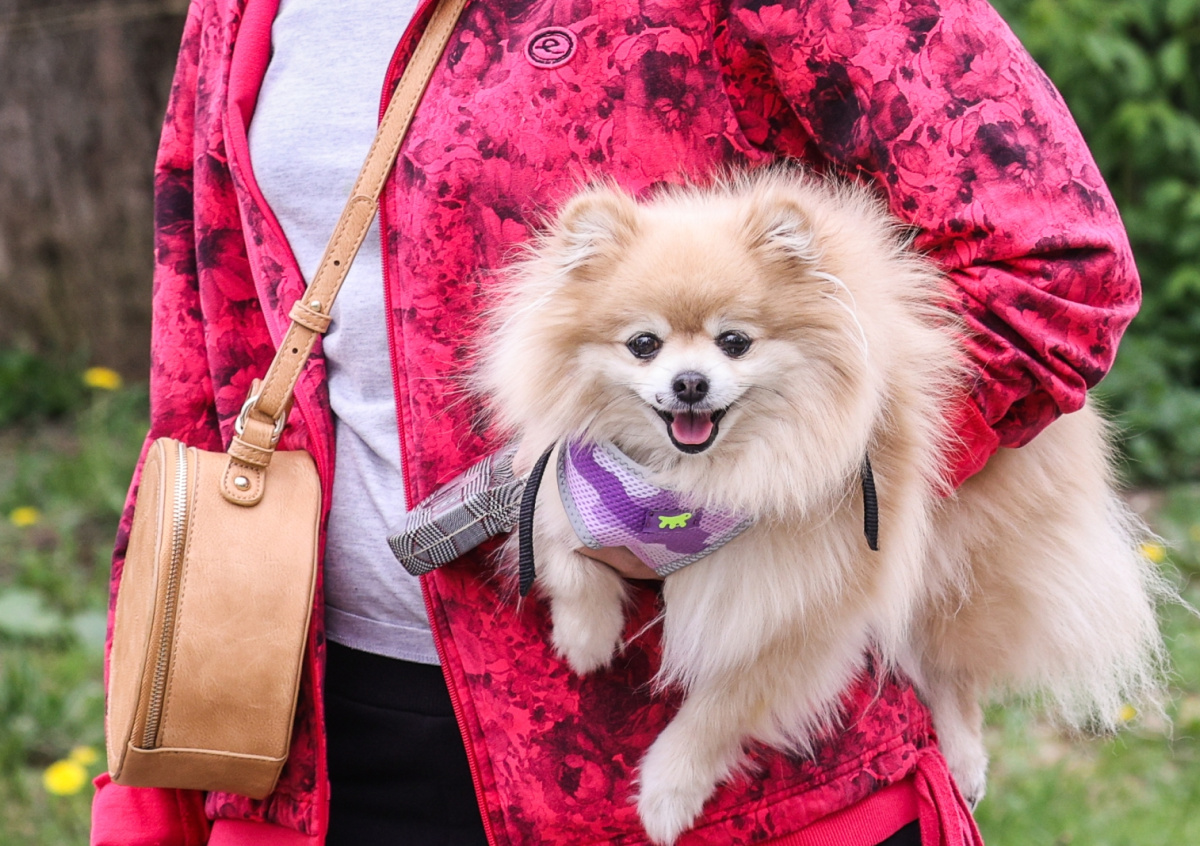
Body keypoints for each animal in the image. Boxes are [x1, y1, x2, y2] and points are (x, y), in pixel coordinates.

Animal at [474, 169, 1166, 844]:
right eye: (644, 344)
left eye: (734, 342)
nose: (690, 382)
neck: (696, 484)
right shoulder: (566, 481)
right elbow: (566, 554)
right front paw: (585, 639)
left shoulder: (805, 600)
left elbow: (721, 707)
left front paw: (668, 794)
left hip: (960, 557)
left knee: (952, 663)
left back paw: (965, 756)